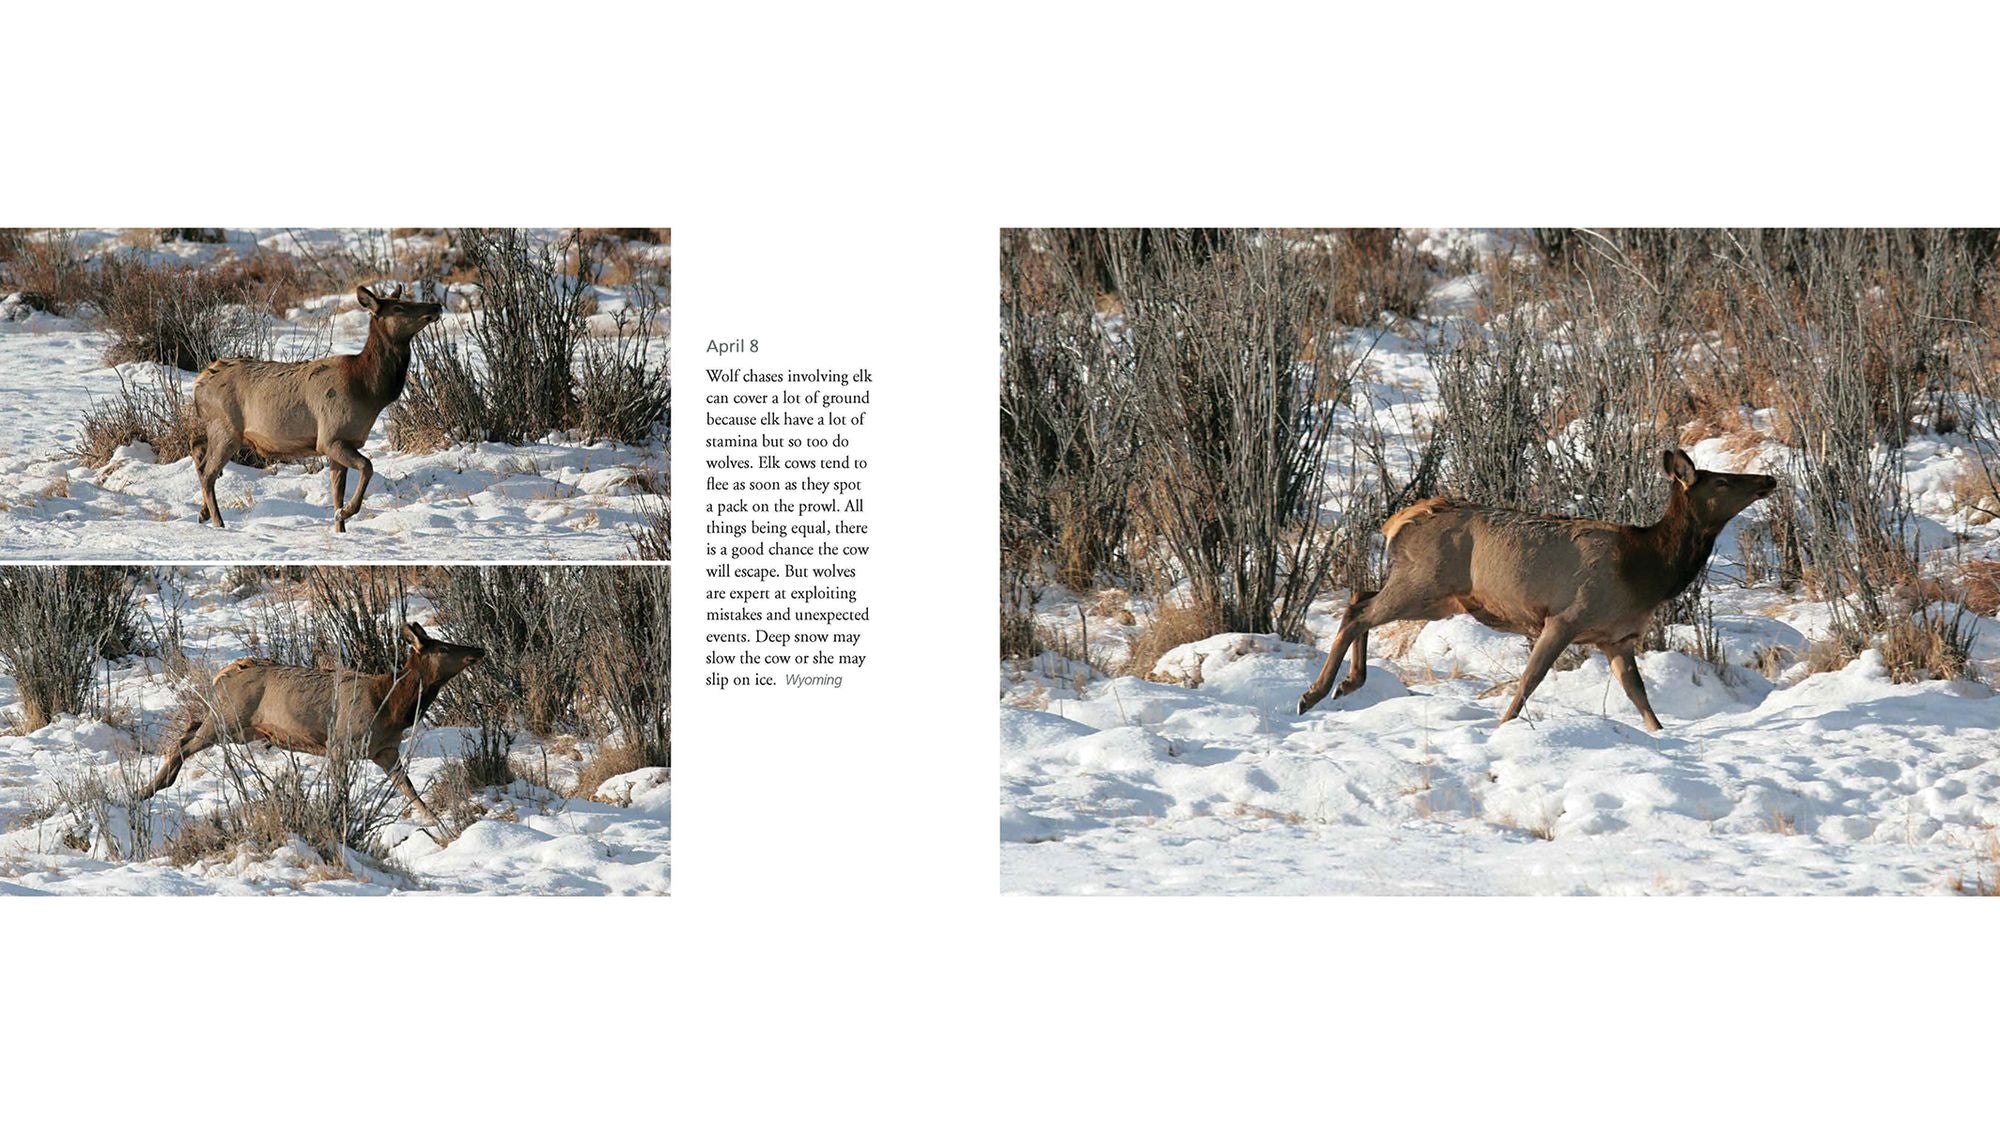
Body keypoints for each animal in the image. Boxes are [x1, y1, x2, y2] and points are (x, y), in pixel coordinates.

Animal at [135, 623, 485, 823]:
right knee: (183, 742)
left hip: (236, 727)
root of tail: (225, 672)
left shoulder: (385, 750)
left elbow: (409, 789)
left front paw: (438, 825)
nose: (479, 649)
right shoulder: (339, 742)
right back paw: (145, 790)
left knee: (189, 727)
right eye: (444, 647)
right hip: (229, 715)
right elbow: (342, 790)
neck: (391, 707)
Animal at [191, 284, 442, 532]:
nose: (436, 306)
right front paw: (347, 511)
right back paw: (217, 521)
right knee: (208, 471)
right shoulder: (330, 437)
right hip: (226, 428)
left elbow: (337, 492)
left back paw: (203, 513)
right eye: (399, 307)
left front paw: (340, 527)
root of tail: (198, 382)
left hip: (226, 431)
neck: (369, 391)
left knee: (198, 451)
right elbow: (367, 466)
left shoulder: (344, 441)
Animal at [1297, 449, 1777, 731]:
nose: (1768, 479)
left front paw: (1660, 735)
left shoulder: (1619, 638)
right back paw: (1315, 693)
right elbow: (1530, 679)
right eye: (1721, 481)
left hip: (1437, 597)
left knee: (1359, 595)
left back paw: (1347, 684)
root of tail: (1397, 523)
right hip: (1425, 582)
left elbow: (1638, 693)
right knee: (1359, 610)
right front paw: (1503, 726)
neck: (1649, 571)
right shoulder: (1566, 617)